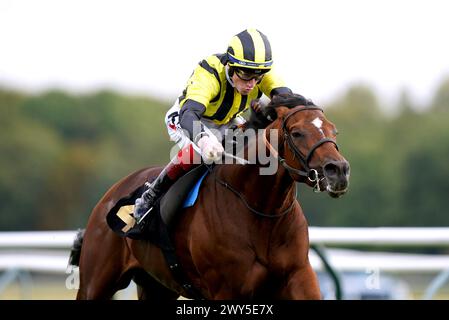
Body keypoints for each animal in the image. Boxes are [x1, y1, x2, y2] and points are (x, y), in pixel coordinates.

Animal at [70, 94, 350, 300]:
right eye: (297, 132)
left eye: (333, 131)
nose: (338, 170)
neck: (261, 213)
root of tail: (110, 195)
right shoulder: (225, 291)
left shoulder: (299, 275)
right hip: (95, 282)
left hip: (156, 286)